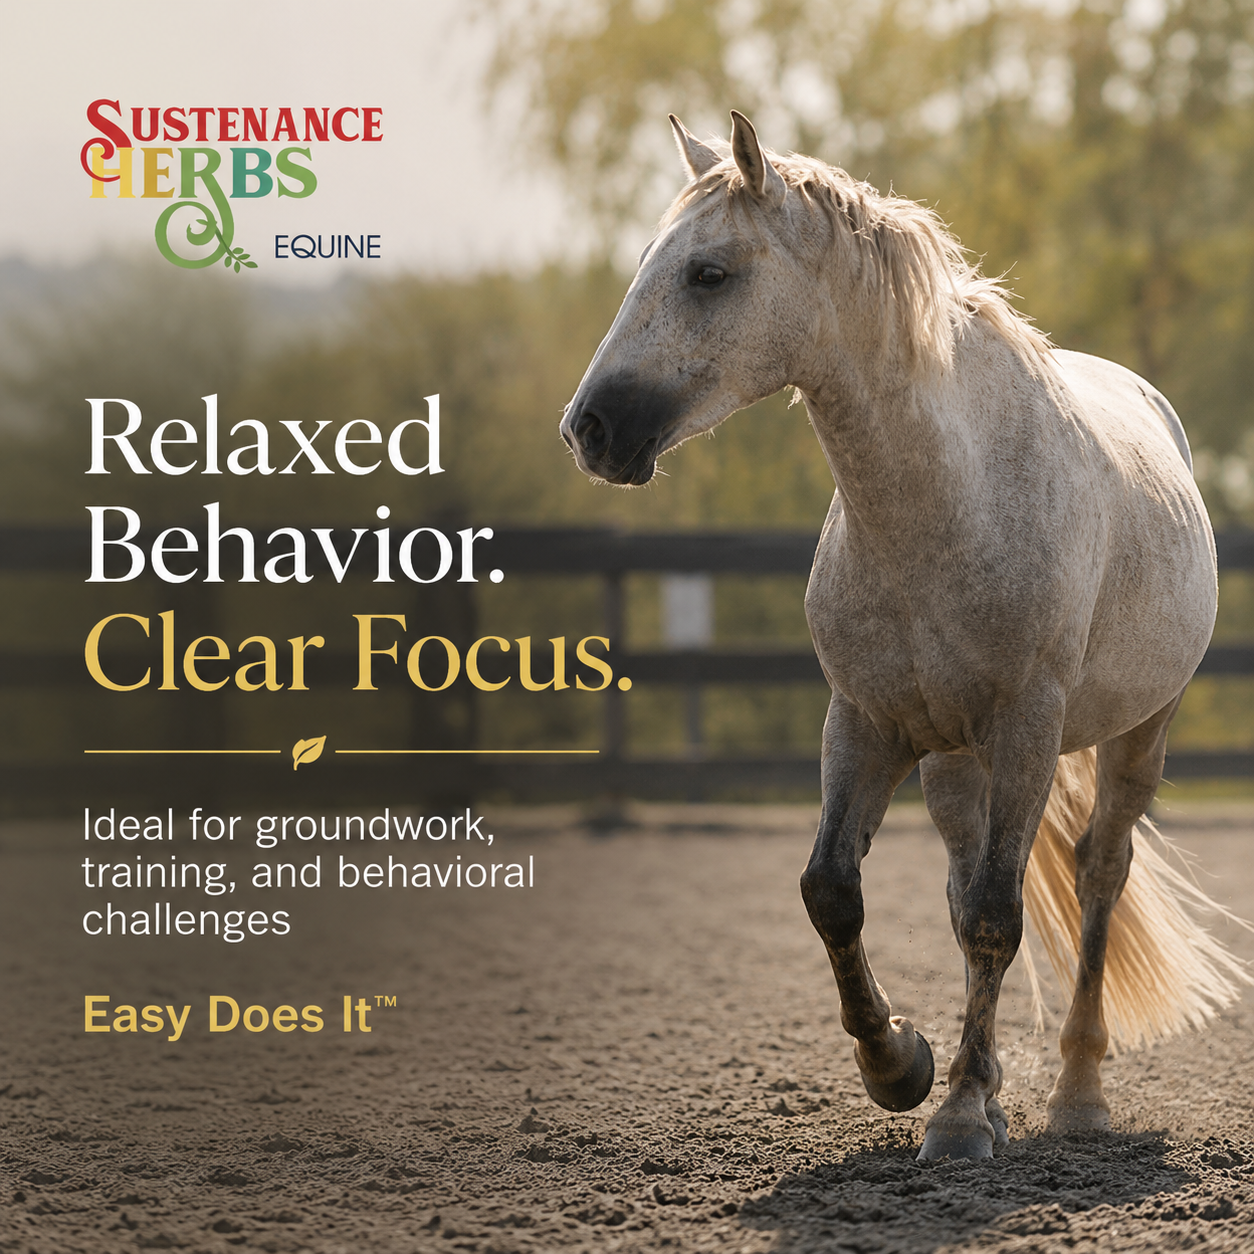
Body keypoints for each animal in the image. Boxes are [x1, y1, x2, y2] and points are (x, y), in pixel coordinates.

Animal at [561, 110, 1250, 1160]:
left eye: (709, 273)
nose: (590, 428)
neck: (946, 498)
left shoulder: (1026, 726)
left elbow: (999, 919)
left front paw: (958, 1118)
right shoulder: (864, 722)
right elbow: (835, 891)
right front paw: (903, 1067)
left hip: (1138, 730)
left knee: (1096, 872)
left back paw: (1075, 1093)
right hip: (953, 761)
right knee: (967, 881)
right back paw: (997, 1086)